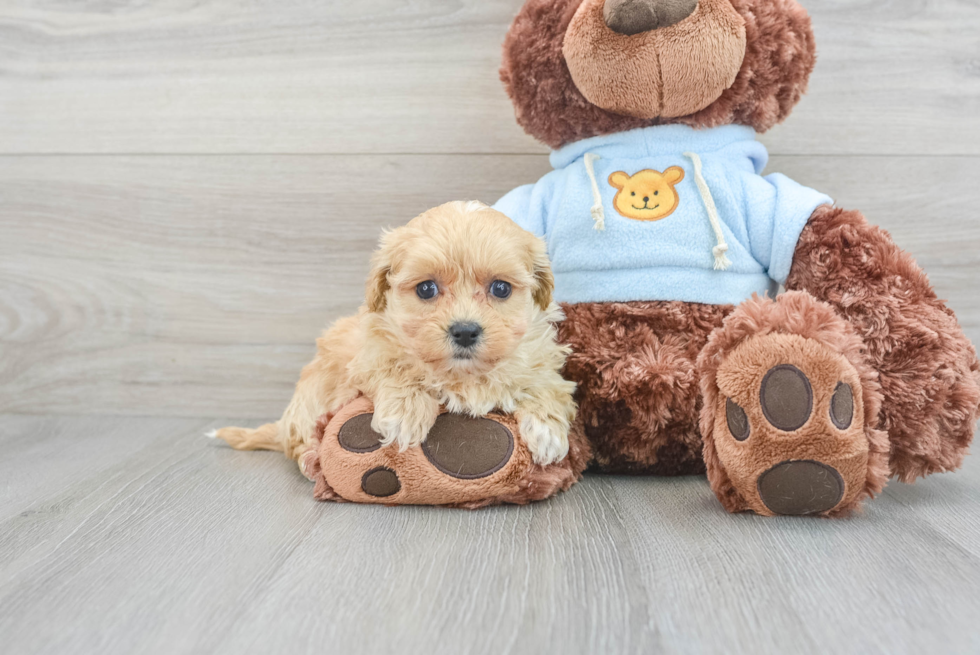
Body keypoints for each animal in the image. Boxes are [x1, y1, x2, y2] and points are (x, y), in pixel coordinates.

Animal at [212, 201, 580, 476]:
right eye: (426, 289)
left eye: (501, 288)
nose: (464, 330)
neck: (462, 375)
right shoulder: (367, 355)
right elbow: (395, 368)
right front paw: (405, 414)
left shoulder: (540, 360)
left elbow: (548, 386)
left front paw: (548, 432)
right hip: (310, 400)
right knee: (301, 441)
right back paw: (310, 460)